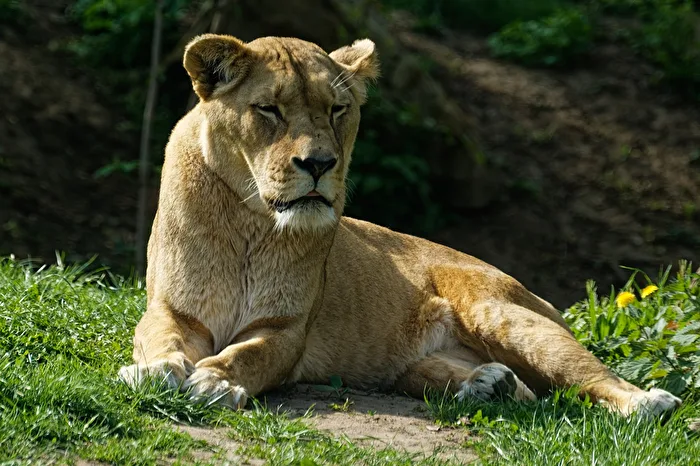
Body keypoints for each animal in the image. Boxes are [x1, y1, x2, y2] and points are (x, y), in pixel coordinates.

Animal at [119, 34, 681, 417]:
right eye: (269, 110)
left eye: (338, 109)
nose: (319, 164)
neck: (249, 224)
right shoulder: (173, 309)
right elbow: (159, 337)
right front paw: (154, 370)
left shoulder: (286, 329)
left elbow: (249, 355)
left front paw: (214, 380)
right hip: (414, 365)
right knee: (521, 390)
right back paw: (490, 384)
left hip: (506, 316)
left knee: (589, 375)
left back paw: (649, 403)